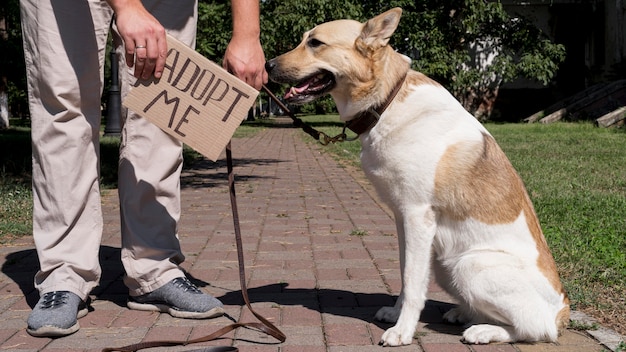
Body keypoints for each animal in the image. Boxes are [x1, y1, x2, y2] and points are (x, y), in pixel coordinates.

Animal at [266, 6, 568, 346]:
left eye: (315, 43)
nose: (267, 65)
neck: (386, 102)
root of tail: (563, 310)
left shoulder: (417, 216)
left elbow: (412, 283)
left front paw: (403, 331)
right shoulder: (402, 218)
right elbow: (404, 273)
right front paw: (396, 314)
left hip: (469, 265)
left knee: (534, 328)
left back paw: (482, 330)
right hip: (443, 264)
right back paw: (462, 313)